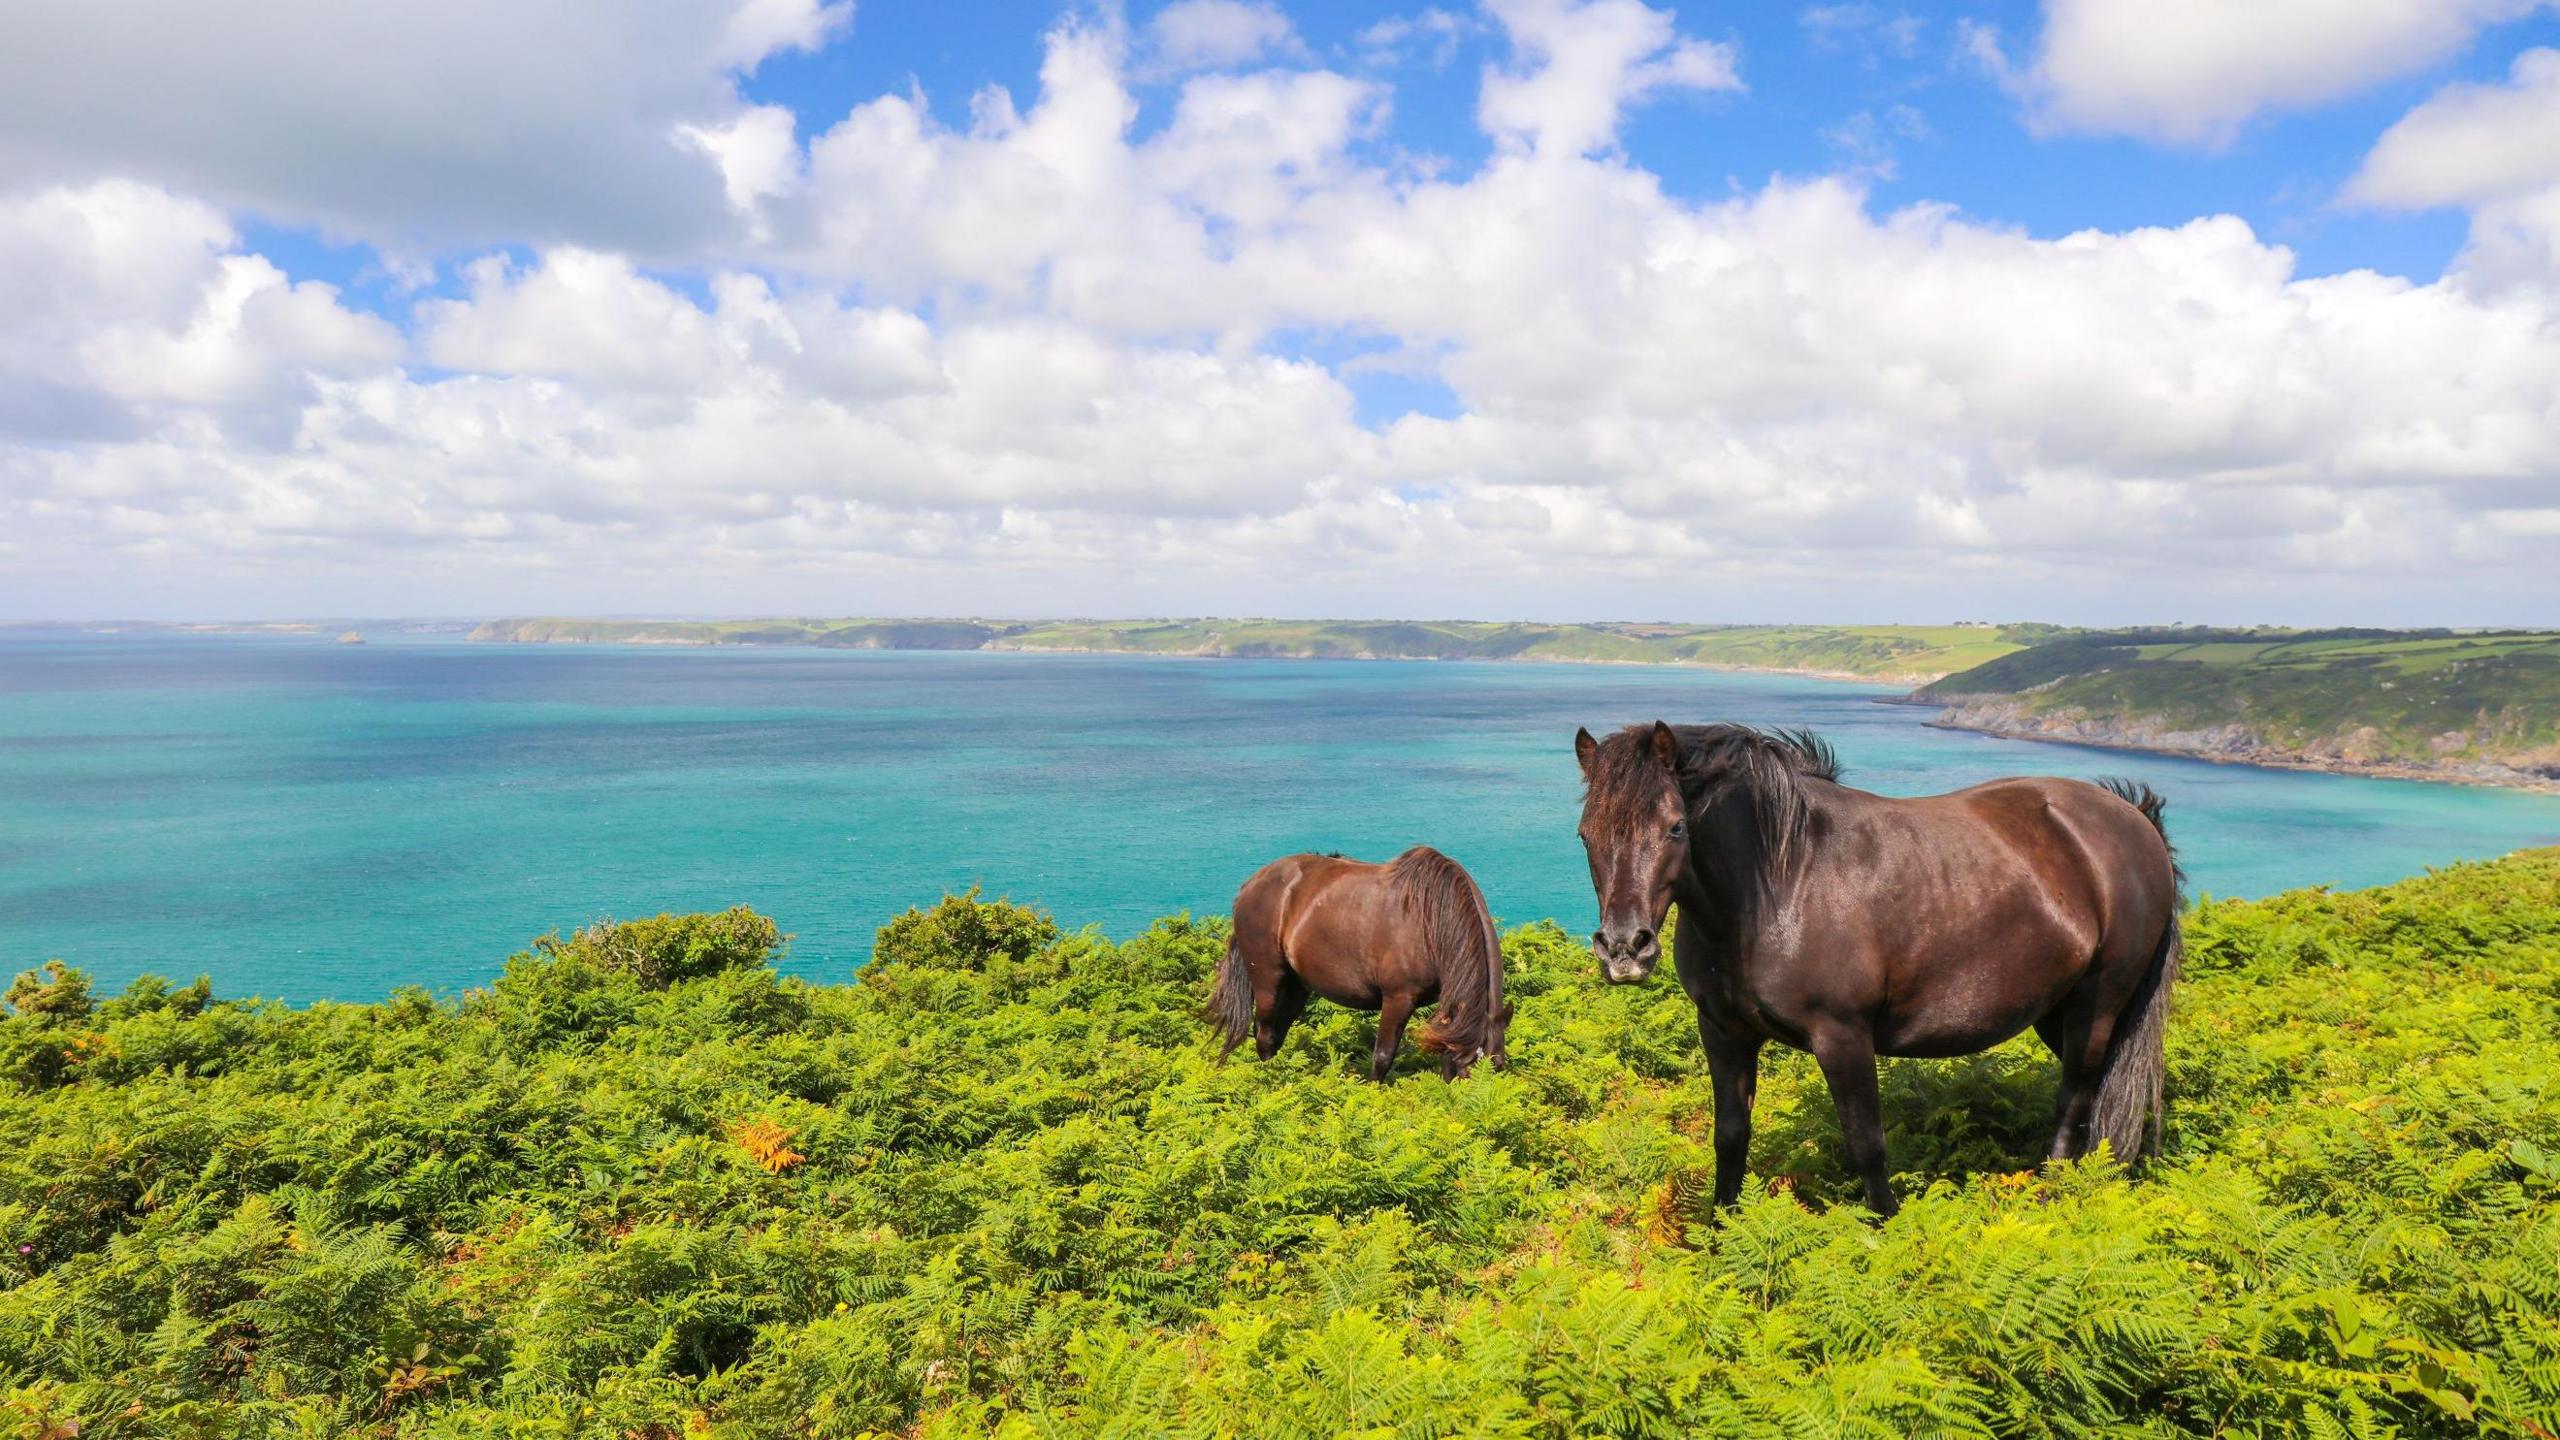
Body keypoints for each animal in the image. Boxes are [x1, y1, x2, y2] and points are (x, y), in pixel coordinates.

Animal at [1213, 840, 1505, 1076]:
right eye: (1468, 1069)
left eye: (1499, 1066)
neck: (1432, 921)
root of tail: (1251, 885)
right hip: (1267, 980)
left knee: (1276, 1033)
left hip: (1297, 985)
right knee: (1263, 1034)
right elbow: (1383, 1057)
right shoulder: (1398, 998)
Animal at [1566, 717, 2191, 1209]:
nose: (1624, 949)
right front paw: (1722, 1231)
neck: (1779, 881)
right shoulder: (1723, 1031)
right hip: (2055, 1012)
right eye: (1585, 835)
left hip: (2096, 1003)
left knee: (2076, 1095)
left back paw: (2054, 1190)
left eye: (1675, 826)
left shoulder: (1842, 1036)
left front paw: (1885, 1229)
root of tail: (2133, 819)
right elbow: (1730, 1137)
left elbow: (1867, 1144)